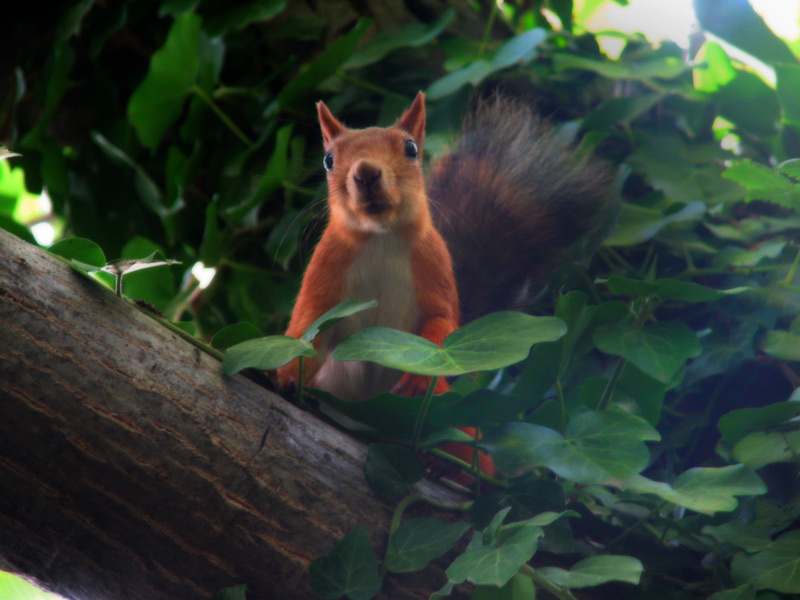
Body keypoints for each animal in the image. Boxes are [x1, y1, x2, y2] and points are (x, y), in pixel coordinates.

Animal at [276, 91, 616, 477]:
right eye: (329, 159)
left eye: (411, 148)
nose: (365, 172)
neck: (380, 237)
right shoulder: (326, 270)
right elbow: (307, 327)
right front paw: (286, 374)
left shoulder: (435, 264)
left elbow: (441, 322)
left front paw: (421, 374)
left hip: (450, 414)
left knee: (470, 450)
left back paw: (452, 467)